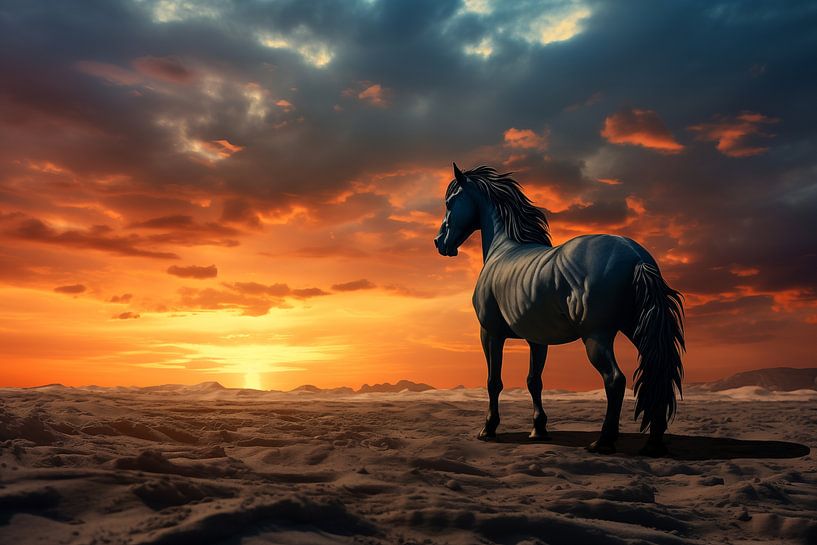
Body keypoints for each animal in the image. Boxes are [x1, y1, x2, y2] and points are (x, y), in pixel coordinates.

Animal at [433, 163, 684, 457]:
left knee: (615, 379)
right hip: (638, 330)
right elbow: (534, 380)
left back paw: (603, 441)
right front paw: (538, 430)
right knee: (658, 370)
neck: (503, 250)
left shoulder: (490, 334)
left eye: (450, 203)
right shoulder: (537, 340)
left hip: (597, 337)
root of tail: (635, 256)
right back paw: (653, 443)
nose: (440, 242)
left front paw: (488, 429)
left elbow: (493, 381)